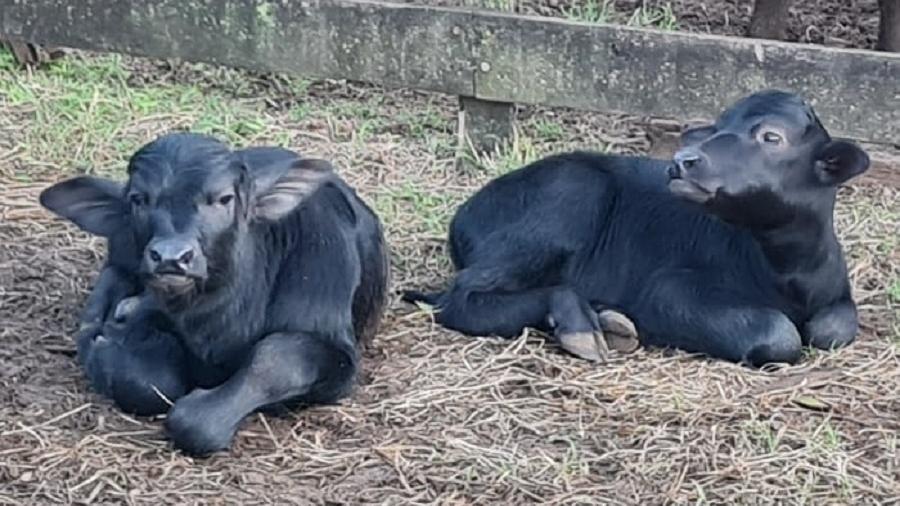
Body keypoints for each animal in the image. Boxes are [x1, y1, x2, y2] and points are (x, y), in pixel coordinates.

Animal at [40, 132, 388, 452]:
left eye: (224, 198)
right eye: (139, 198)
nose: (171, 257)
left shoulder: (338, 352)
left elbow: (273, 361)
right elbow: (147, 381)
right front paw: (109, 340)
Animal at [406, 91, 864, 366]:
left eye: (772, 137)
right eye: (718, 127)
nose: (683, 160)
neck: (784, 273)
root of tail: (466, 213)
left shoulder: (837, 293)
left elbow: (834, 328)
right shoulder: (668, 289)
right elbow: (778, 333)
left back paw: (605, 320)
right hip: (569, 194)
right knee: (462, 296)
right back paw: (582, 325)